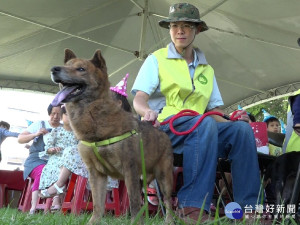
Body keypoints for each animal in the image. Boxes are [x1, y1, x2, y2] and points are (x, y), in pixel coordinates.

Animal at [50, 49, 175, 225]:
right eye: (66, 65)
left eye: (81, 69)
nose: (54, 69)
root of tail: (162, 132)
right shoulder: (96, 174)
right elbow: (97, 204)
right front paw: (93, 222)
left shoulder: (130, 170)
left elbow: (134, 203)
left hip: (164, 178)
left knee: (167, 201)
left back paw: (169, 220)